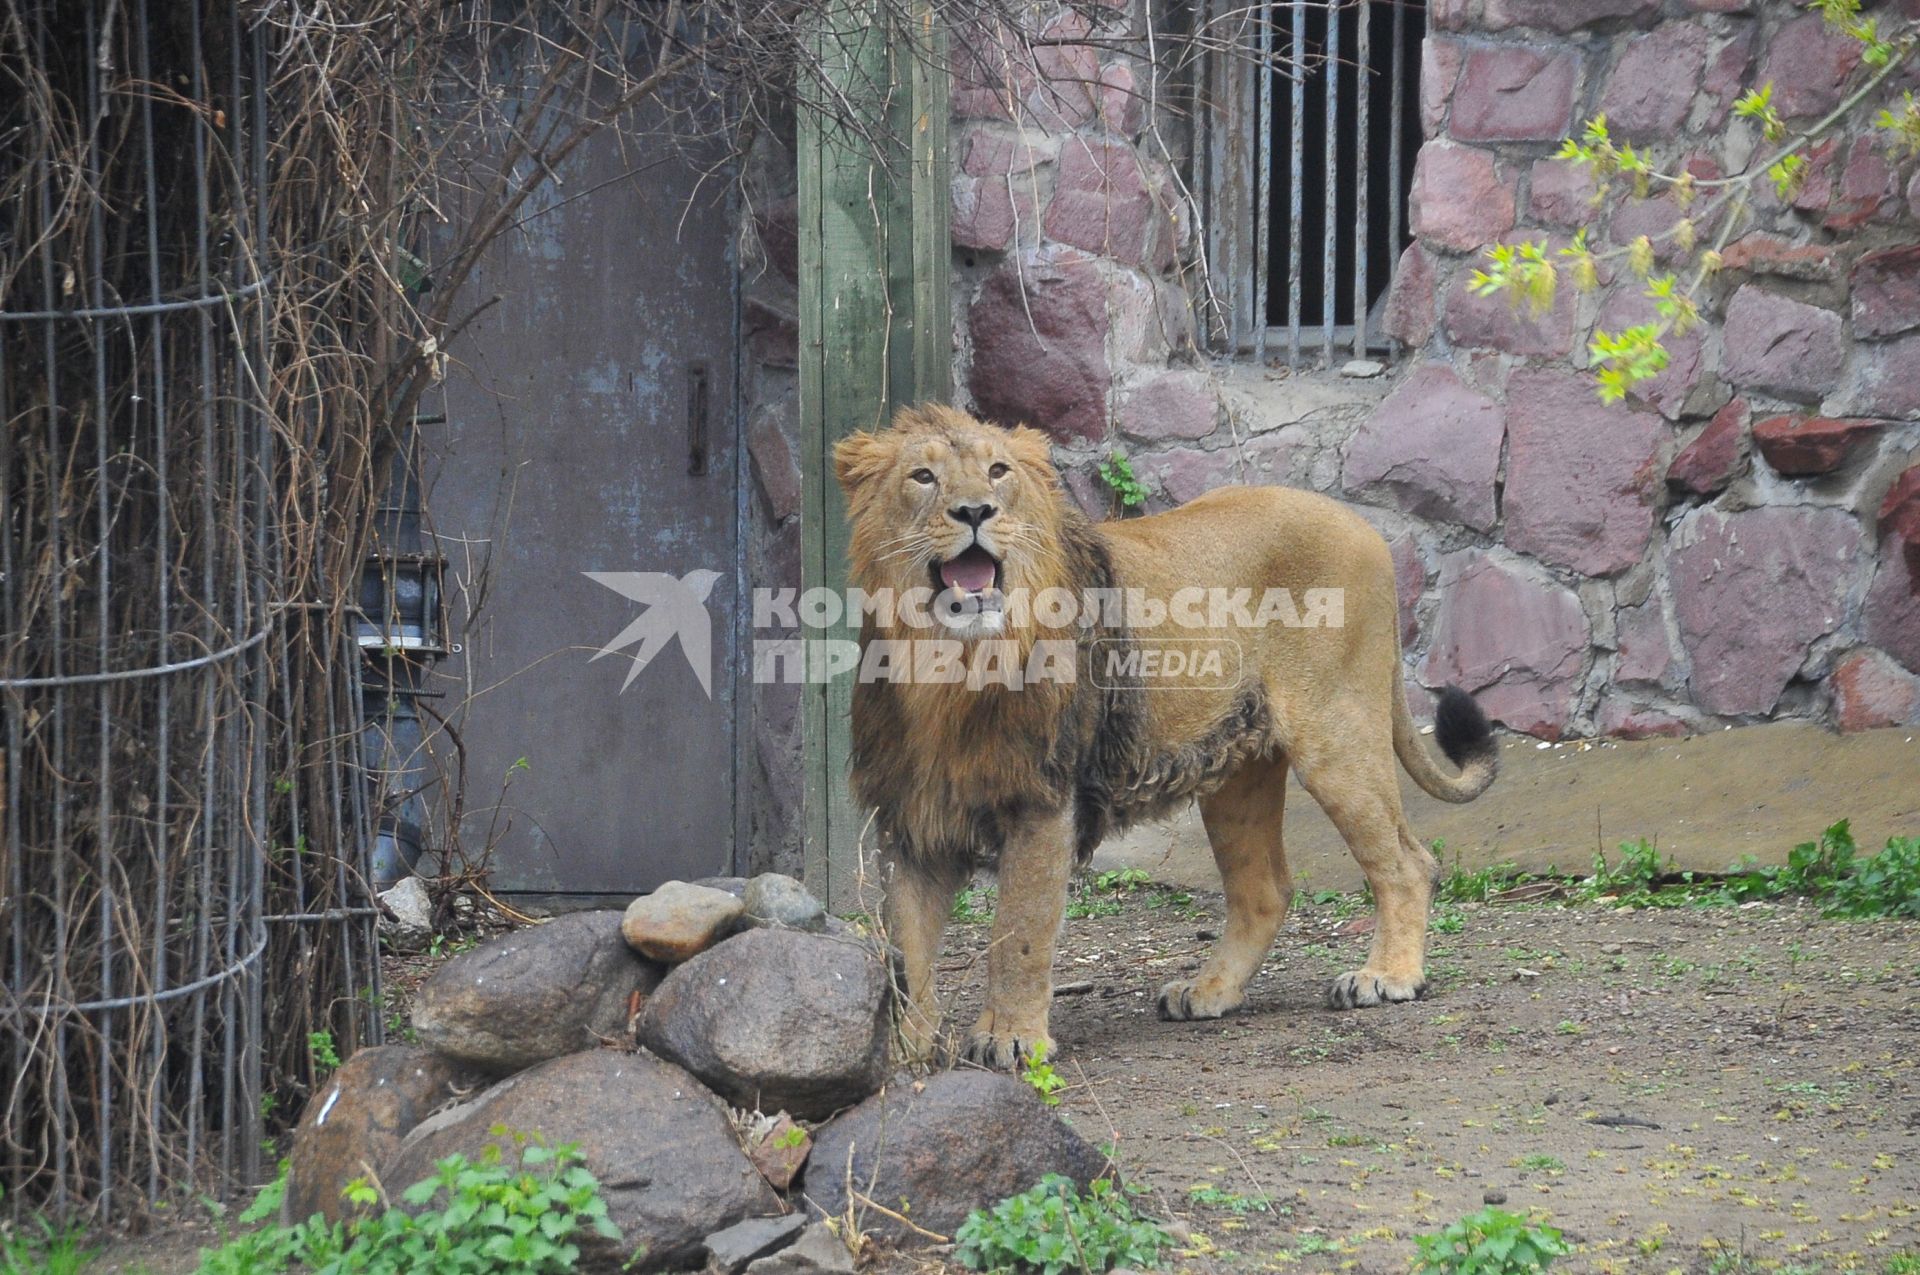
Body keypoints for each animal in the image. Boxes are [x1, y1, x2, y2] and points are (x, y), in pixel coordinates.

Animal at [837, 405, 1497, 1067]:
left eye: (998, 471)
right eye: (923, 476)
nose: (975, 511)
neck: (945, 669)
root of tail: (1362, 524)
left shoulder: (1045, 797)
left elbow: (1020, 931)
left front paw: (1012, 1039)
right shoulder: (913, 817)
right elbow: (910, 949)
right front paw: (904, 1051)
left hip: (1339, 735)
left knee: (1408, 863)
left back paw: (1387, 977)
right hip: (1236, 775)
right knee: (1265, 890)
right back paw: (1209, 991)